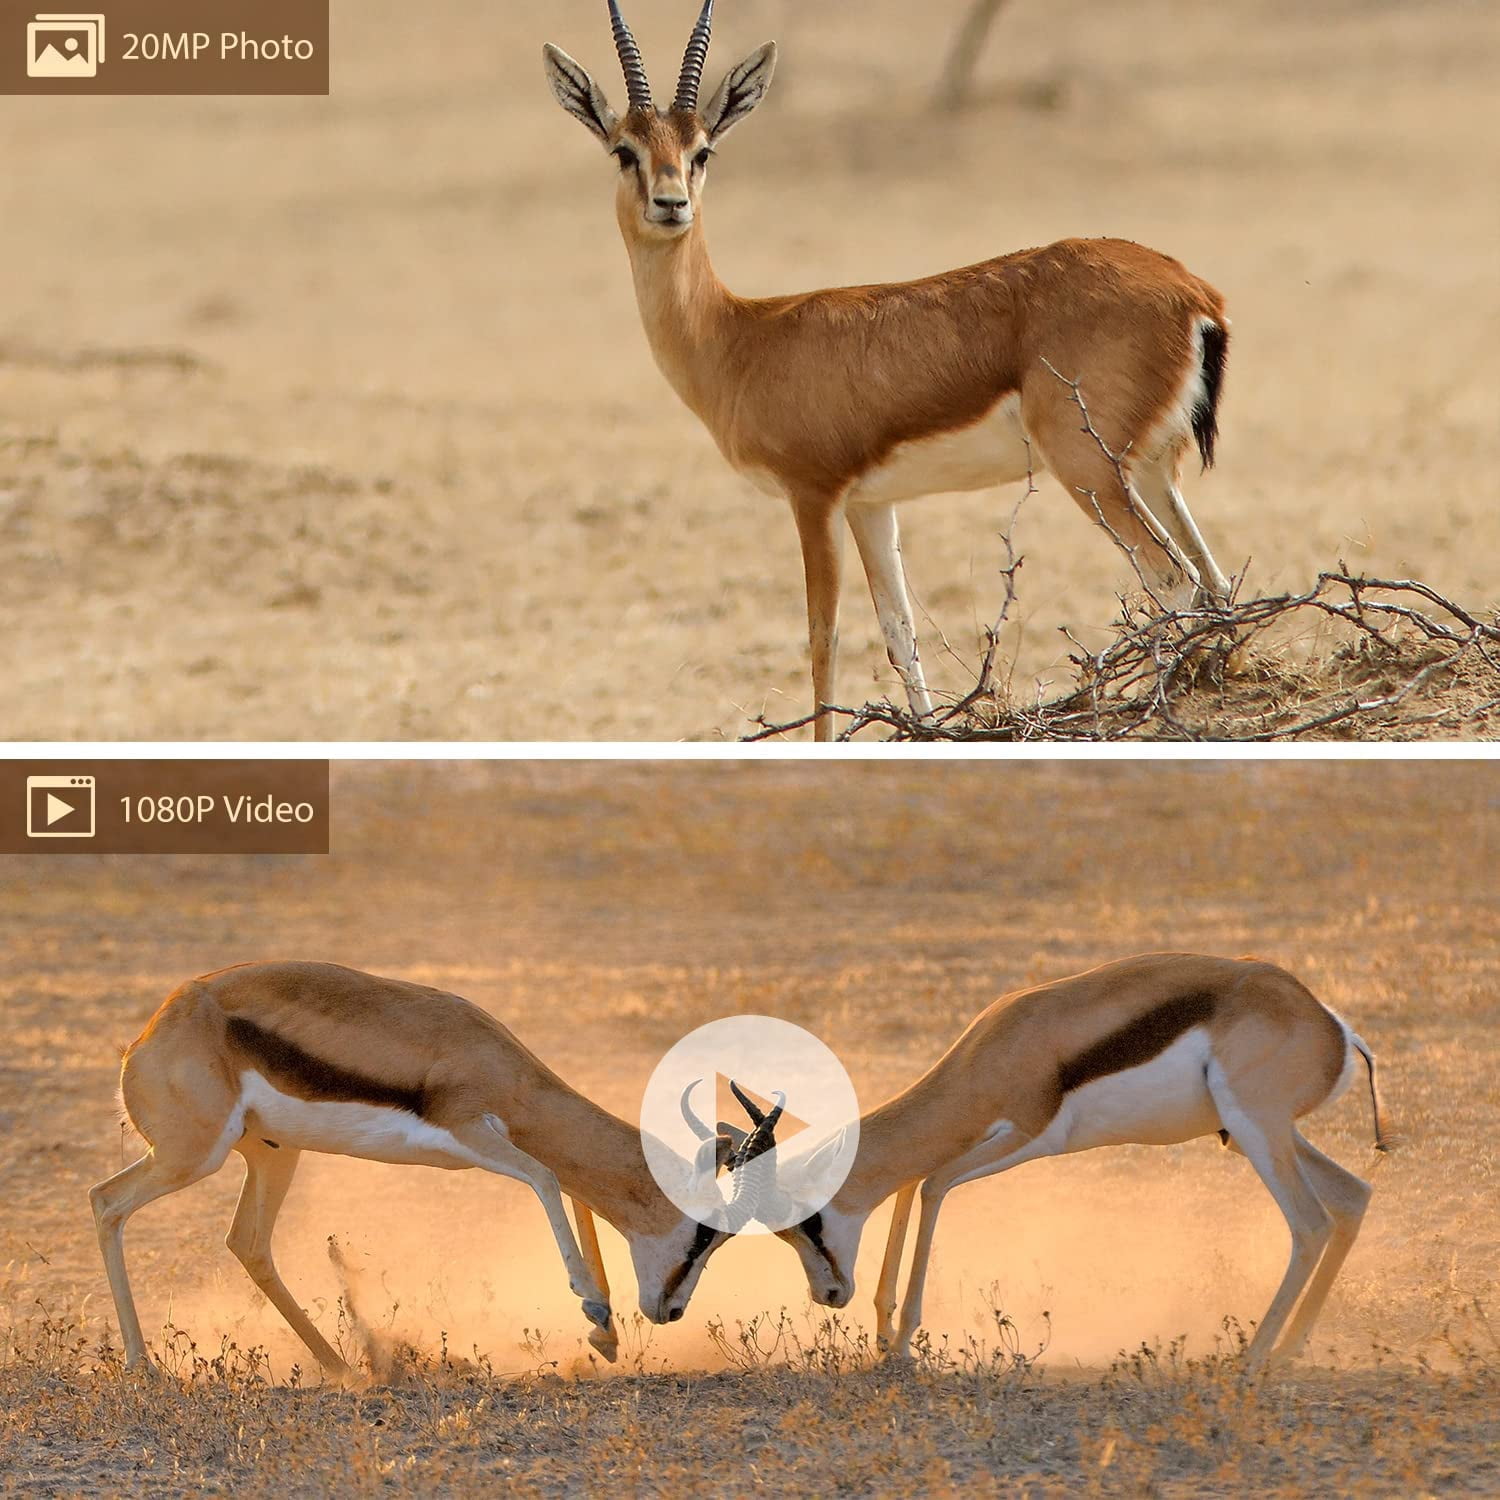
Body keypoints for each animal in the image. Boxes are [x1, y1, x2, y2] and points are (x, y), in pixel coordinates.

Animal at [89, 962, 764, 1377]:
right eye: (707, 1234)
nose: (670, 1311)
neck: (497, 1065)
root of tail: (148, 1034)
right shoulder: (473, 1133)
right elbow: (549, 1181)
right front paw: (596, 1311)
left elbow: (576, 1194)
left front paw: (607, 1337)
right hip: (193, 1156)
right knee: (105, 1201)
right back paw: (144, 1367)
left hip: (273, 1154)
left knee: (248, 1243)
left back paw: (345, 1369)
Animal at [544, 1, 1235, 740]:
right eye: (625, 150)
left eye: (703, 150)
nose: (671, 204)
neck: (739, 337)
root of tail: (1192, 291)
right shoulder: (872, 505)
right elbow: (900, 633)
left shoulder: (814, 495)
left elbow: (823, 641)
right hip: (1152, 469)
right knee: (1213, 581)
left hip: (1089, 471)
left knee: (1171, 580)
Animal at [746, 953, 1390, 1369]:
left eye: (806, 1222)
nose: (829, 1296)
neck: (1001, 1046)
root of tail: (1334, 1028)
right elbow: (913, 1182)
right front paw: (883, 1335)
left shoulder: (1026, 1136)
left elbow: (931, 1185)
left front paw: (902, 1342)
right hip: (1258, 1134)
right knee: (1353, 1197)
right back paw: (1289, 1351)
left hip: (1258, 1130)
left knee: (1310, 1223)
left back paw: (1253, 1358)